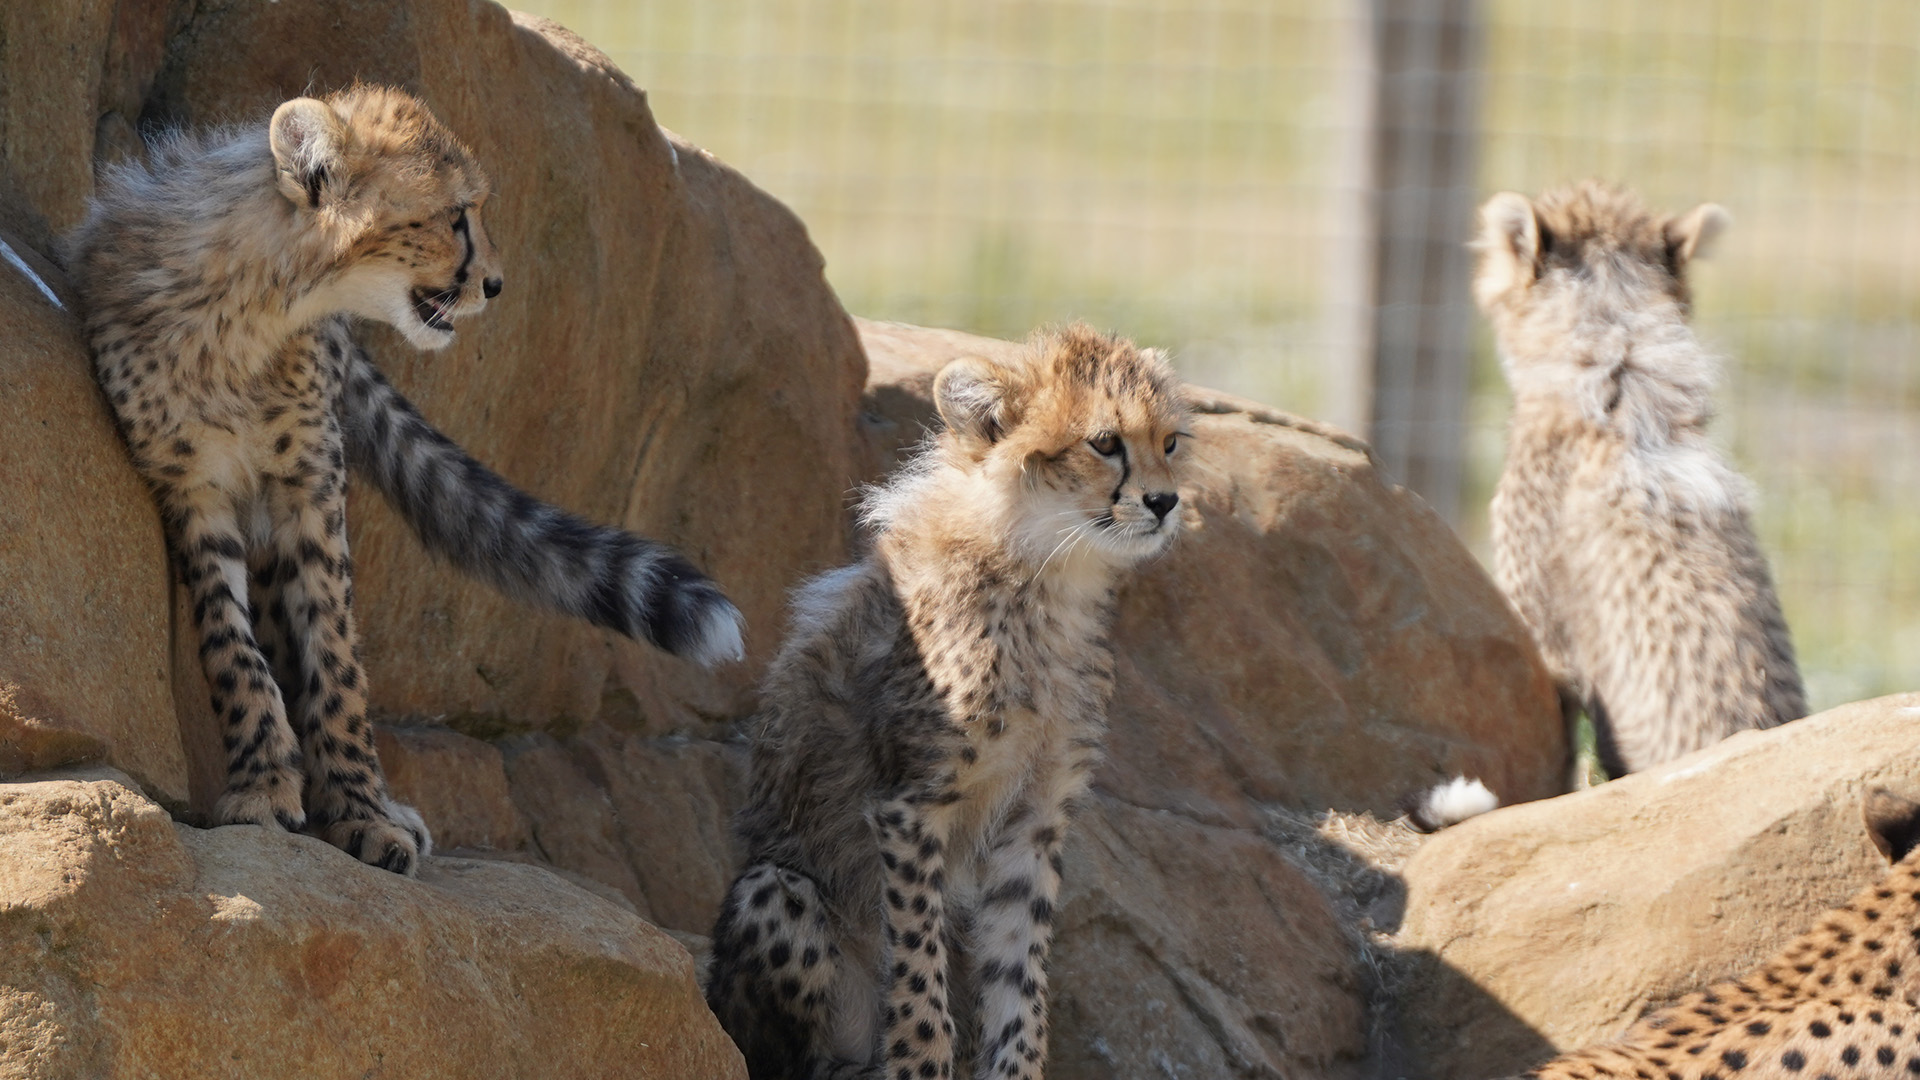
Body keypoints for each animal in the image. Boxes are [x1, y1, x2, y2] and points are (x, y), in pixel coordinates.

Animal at [62, 86, 743, 875]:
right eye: (455, 215)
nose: (496, 285)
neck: (253, 317)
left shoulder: (312, 488)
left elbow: (337, 659)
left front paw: (362, 810)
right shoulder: (192, 490)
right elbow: (231, 648)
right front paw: (264, 785)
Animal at [703, 324, 1191, 1080]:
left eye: (1169, 442)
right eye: (1105, 442)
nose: (1166, 502)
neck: (1045, 576)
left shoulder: (1034, 821)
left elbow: (1021, 979)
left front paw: (1017, 1065)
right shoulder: (910, 807)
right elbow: (918, 967)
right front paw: (920, 1062)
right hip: (776, 891)